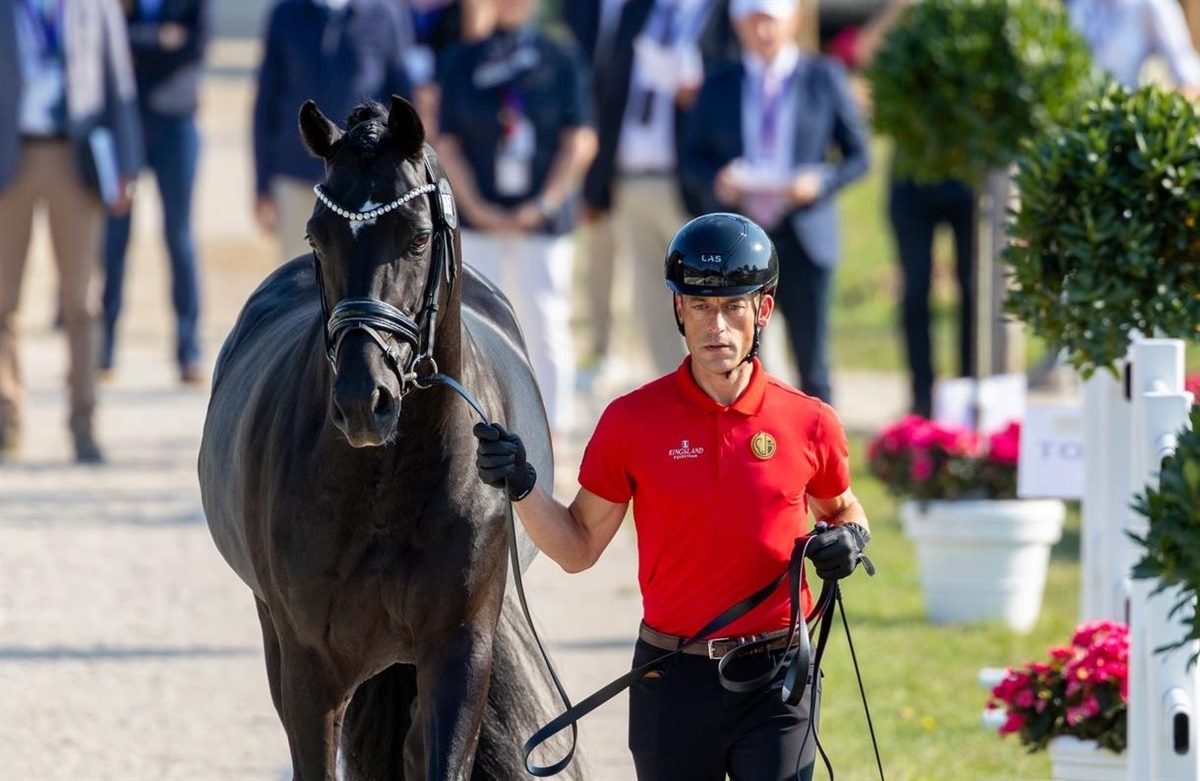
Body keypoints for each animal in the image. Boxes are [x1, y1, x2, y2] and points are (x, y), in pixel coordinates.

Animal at [198, 95, 576, 781]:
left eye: (419, 236)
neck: (387, 484)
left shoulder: (459, 652)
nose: (360, 401)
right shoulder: (308, 668)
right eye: (316, 235)